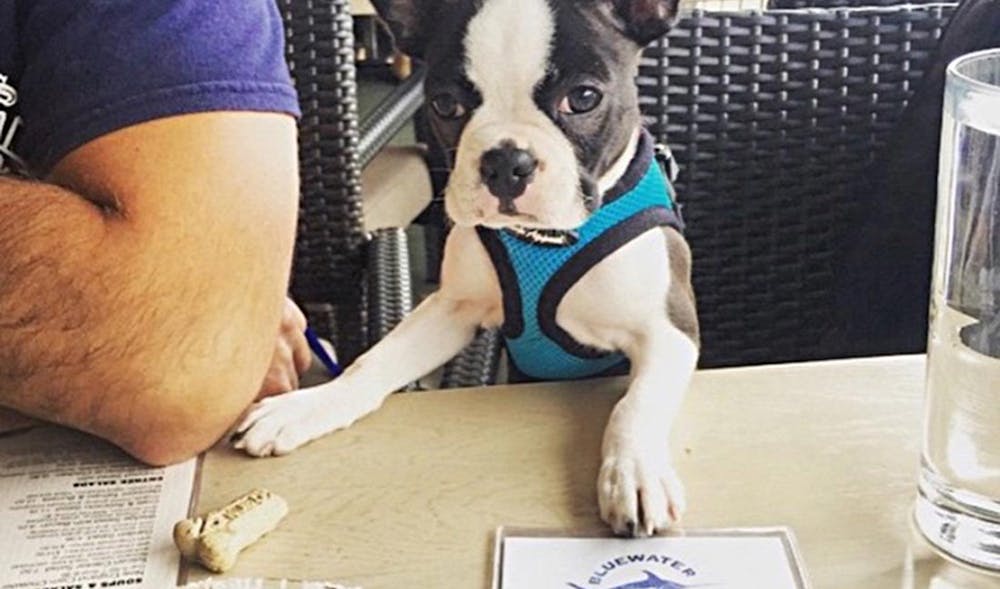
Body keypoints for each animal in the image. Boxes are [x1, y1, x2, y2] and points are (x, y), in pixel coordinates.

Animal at [237, 0, 700, 536]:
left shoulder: (667, 331)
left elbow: (637, 403)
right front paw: (309, 405)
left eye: (583, 99)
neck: (547, 239)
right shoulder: (452, 309)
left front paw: (635, 472)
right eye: (444, 105)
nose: (506, 161)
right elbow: (373, 363)